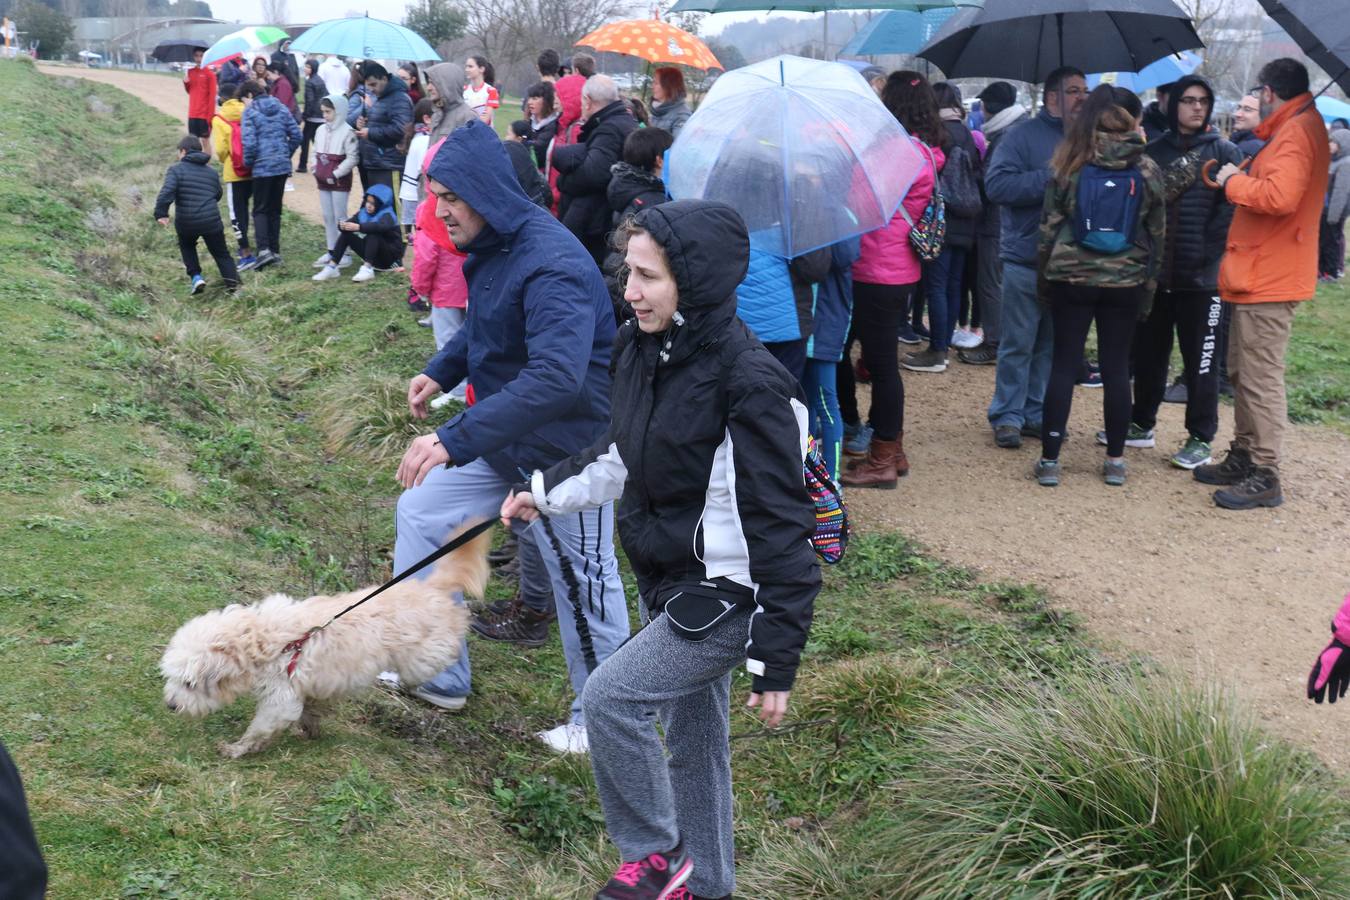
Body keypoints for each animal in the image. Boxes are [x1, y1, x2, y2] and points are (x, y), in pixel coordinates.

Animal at [162, 531, 491, 755]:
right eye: (172, 679)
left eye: (190, 684)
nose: (170, 705)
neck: (260, 642)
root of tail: (430, 588)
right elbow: (310, 708)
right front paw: (310, 727)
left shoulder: (280, 698)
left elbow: (260, 728)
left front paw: (237, 748)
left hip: (424, 658)